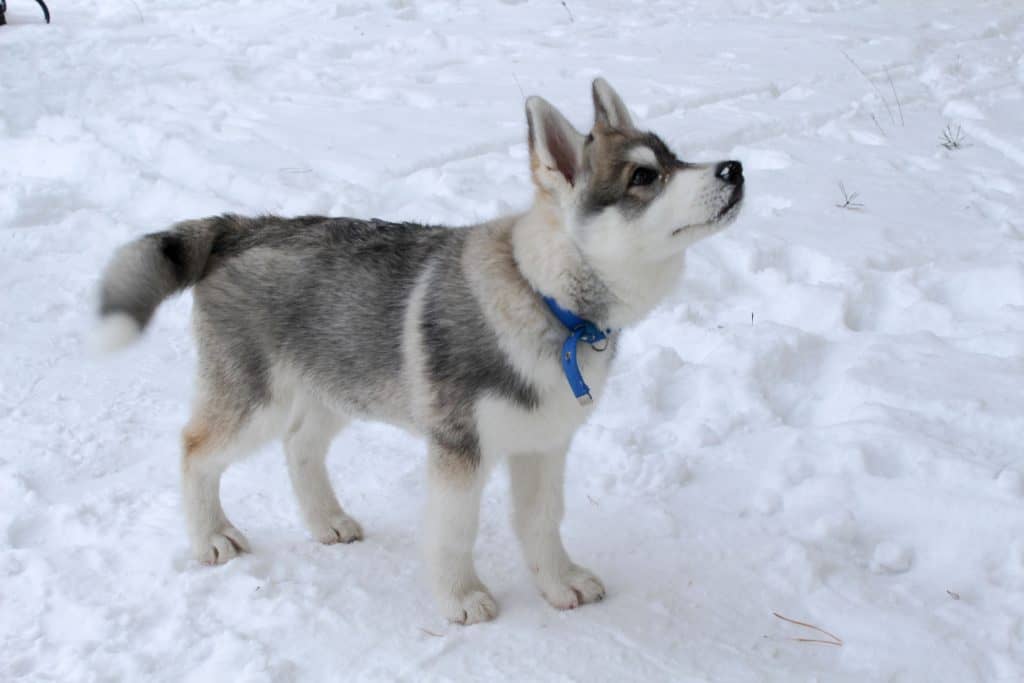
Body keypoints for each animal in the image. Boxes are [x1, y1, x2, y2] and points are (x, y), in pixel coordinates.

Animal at [96, 80, 745, 626]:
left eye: (673, 157)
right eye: (642, 178)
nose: (735, 168)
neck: (545, 298)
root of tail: (244, 227)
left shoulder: (543, 444)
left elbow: (542, 521)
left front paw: (560, 584)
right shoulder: (461, 449)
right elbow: (456, 531)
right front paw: (461, 599)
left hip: (333, 386)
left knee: (300, 446)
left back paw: (326, 520)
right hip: (256, 401)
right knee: (195, 449)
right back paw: (211, 536)